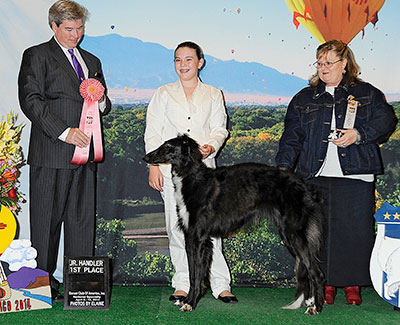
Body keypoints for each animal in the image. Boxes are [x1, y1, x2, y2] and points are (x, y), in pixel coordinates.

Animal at [144, 134, 324, 314]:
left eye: (168, 146)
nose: (145, 157)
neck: (193, 178)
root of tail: (304, 186)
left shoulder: (198, 237)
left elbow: (196, 275)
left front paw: (190, 303)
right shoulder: (191, 236)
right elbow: (193, 273)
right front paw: (187, 299)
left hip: (293, 234)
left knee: (316, 272)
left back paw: (316, 307)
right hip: (289, 235)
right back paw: (310, 301)